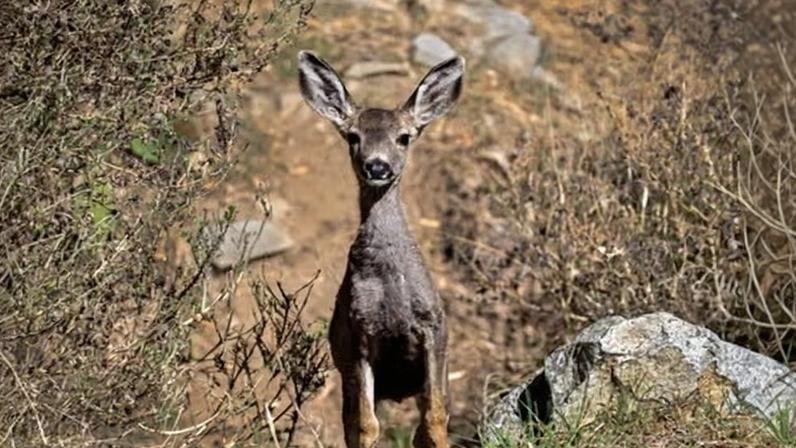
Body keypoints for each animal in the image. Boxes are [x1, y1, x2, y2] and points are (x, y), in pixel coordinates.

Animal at [297, 50, 464, 448]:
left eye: (404, 137)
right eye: (352, 136)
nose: (377, 165)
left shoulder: (433, 329)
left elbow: (435, 419)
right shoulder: (358, 336)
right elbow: (365, 426)